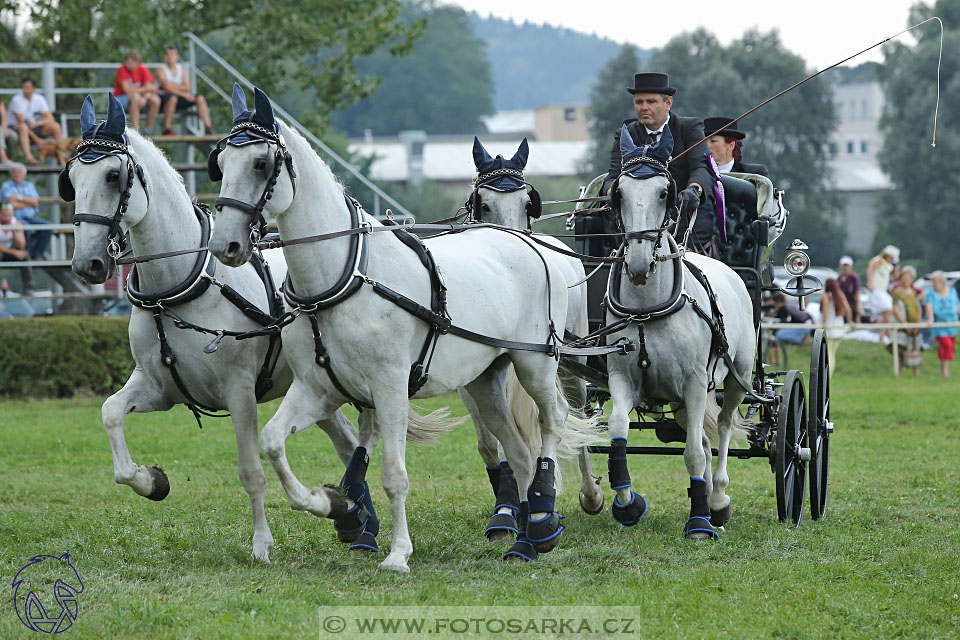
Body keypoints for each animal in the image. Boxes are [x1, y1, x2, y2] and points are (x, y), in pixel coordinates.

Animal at [66, 95, 360, 560]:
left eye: (114, 175)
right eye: (73, 178)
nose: (87, 264)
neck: (174, 290)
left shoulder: (239, 393)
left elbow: (251, 470)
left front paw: (261, 544)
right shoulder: (158, 386)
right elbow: (111, 414)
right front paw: (151, 480)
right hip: (321, 389)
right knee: (347, 441)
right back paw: (349, 515)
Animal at [208, 86, 600, 576]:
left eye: (261, 163)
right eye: (220, 163)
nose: (225, 244)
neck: (341, 279)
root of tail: (525, 241)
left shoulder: (391, 386)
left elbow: (394, 473)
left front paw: (398, 554)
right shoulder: (317, 389)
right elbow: (273, 443)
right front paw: (329, 503)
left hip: (536, 363)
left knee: (553, 420)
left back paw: (545, 515)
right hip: (485, 380)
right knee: (519, 451)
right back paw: (525, 540)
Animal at [604, 124, 752, 536]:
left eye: (664, 192)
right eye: (619, 192)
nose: (639, 264)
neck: (647, 308)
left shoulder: (694, 381)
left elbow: (693, 454)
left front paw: (700, 521)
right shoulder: (622, 377)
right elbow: (618, 427)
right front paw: (628, 503)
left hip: (736, 376)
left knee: (724, 426)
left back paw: (718, 500)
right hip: (682, 399)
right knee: (699, 433)